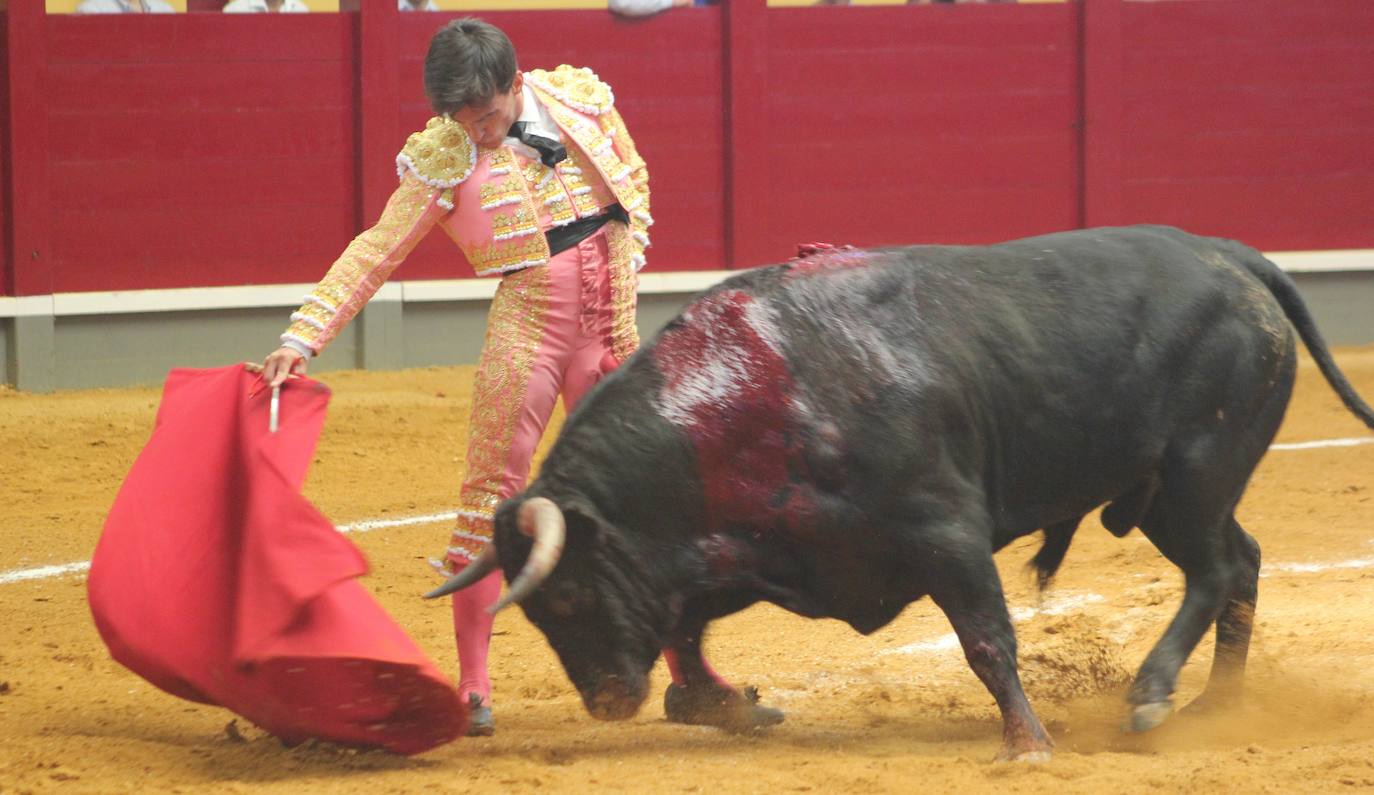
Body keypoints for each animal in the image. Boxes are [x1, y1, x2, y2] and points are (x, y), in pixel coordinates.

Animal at [428, 226, 1374, 763]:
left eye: (569, 594)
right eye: (534, 612)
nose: (605, 701)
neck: (754, 395)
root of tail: (1231, 257)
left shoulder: (945, 532)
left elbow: (988, 640)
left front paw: (1027, 746)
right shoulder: (760, 547)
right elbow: (686, 634)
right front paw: (732, 706)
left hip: (1192, 474)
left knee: (1214, 569)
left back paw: (1150, 693)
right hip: (1176, 492)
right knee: (1242, 561)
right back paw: (1218, 699)